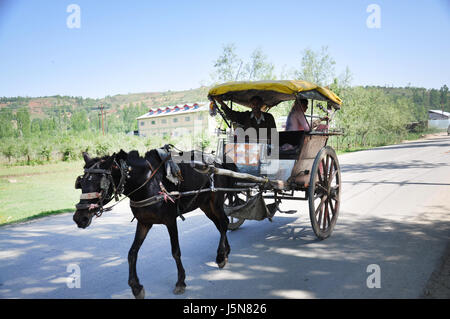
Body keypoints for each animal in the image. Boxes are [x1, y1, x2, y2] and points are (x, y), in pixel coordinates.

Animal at [72, 149, 237, 298]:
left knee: (224, 223)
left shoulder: (170, 221)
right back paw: (226, 250)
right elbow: (132, 253)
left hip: (216, 202)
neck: (148, 183)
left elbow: (175, 251)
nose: (79, 218)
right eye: (81, 183)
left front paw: (180, 282)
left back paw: (221, 256)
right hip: (205, 205)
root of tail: (219, 161)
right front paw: (136, 287)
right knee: (219, 225)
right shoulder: (144, 222)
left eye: (100, 184)